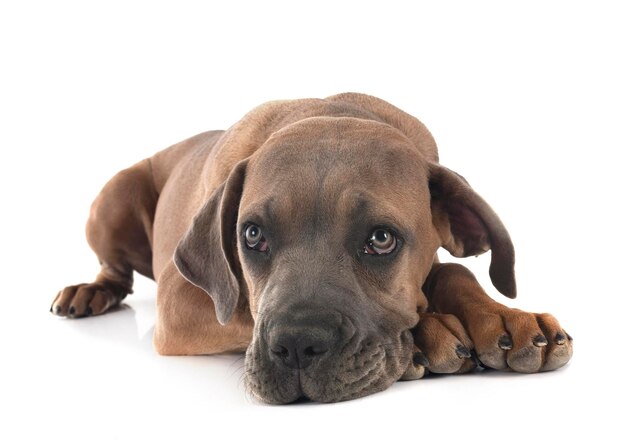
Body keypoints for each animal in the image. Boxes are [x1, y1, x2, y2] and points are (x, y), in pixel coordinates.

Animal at [51, 94, 572, 404]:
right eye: (252, 235)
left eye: (381, 239)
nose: (297, 348)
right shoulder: (183, 304)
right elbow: (243, 310)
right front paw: (430, 332)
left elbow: (453, 272)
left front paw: (504, 318)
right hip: (114, 198)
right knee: (113, 269)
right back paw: (89, 290)